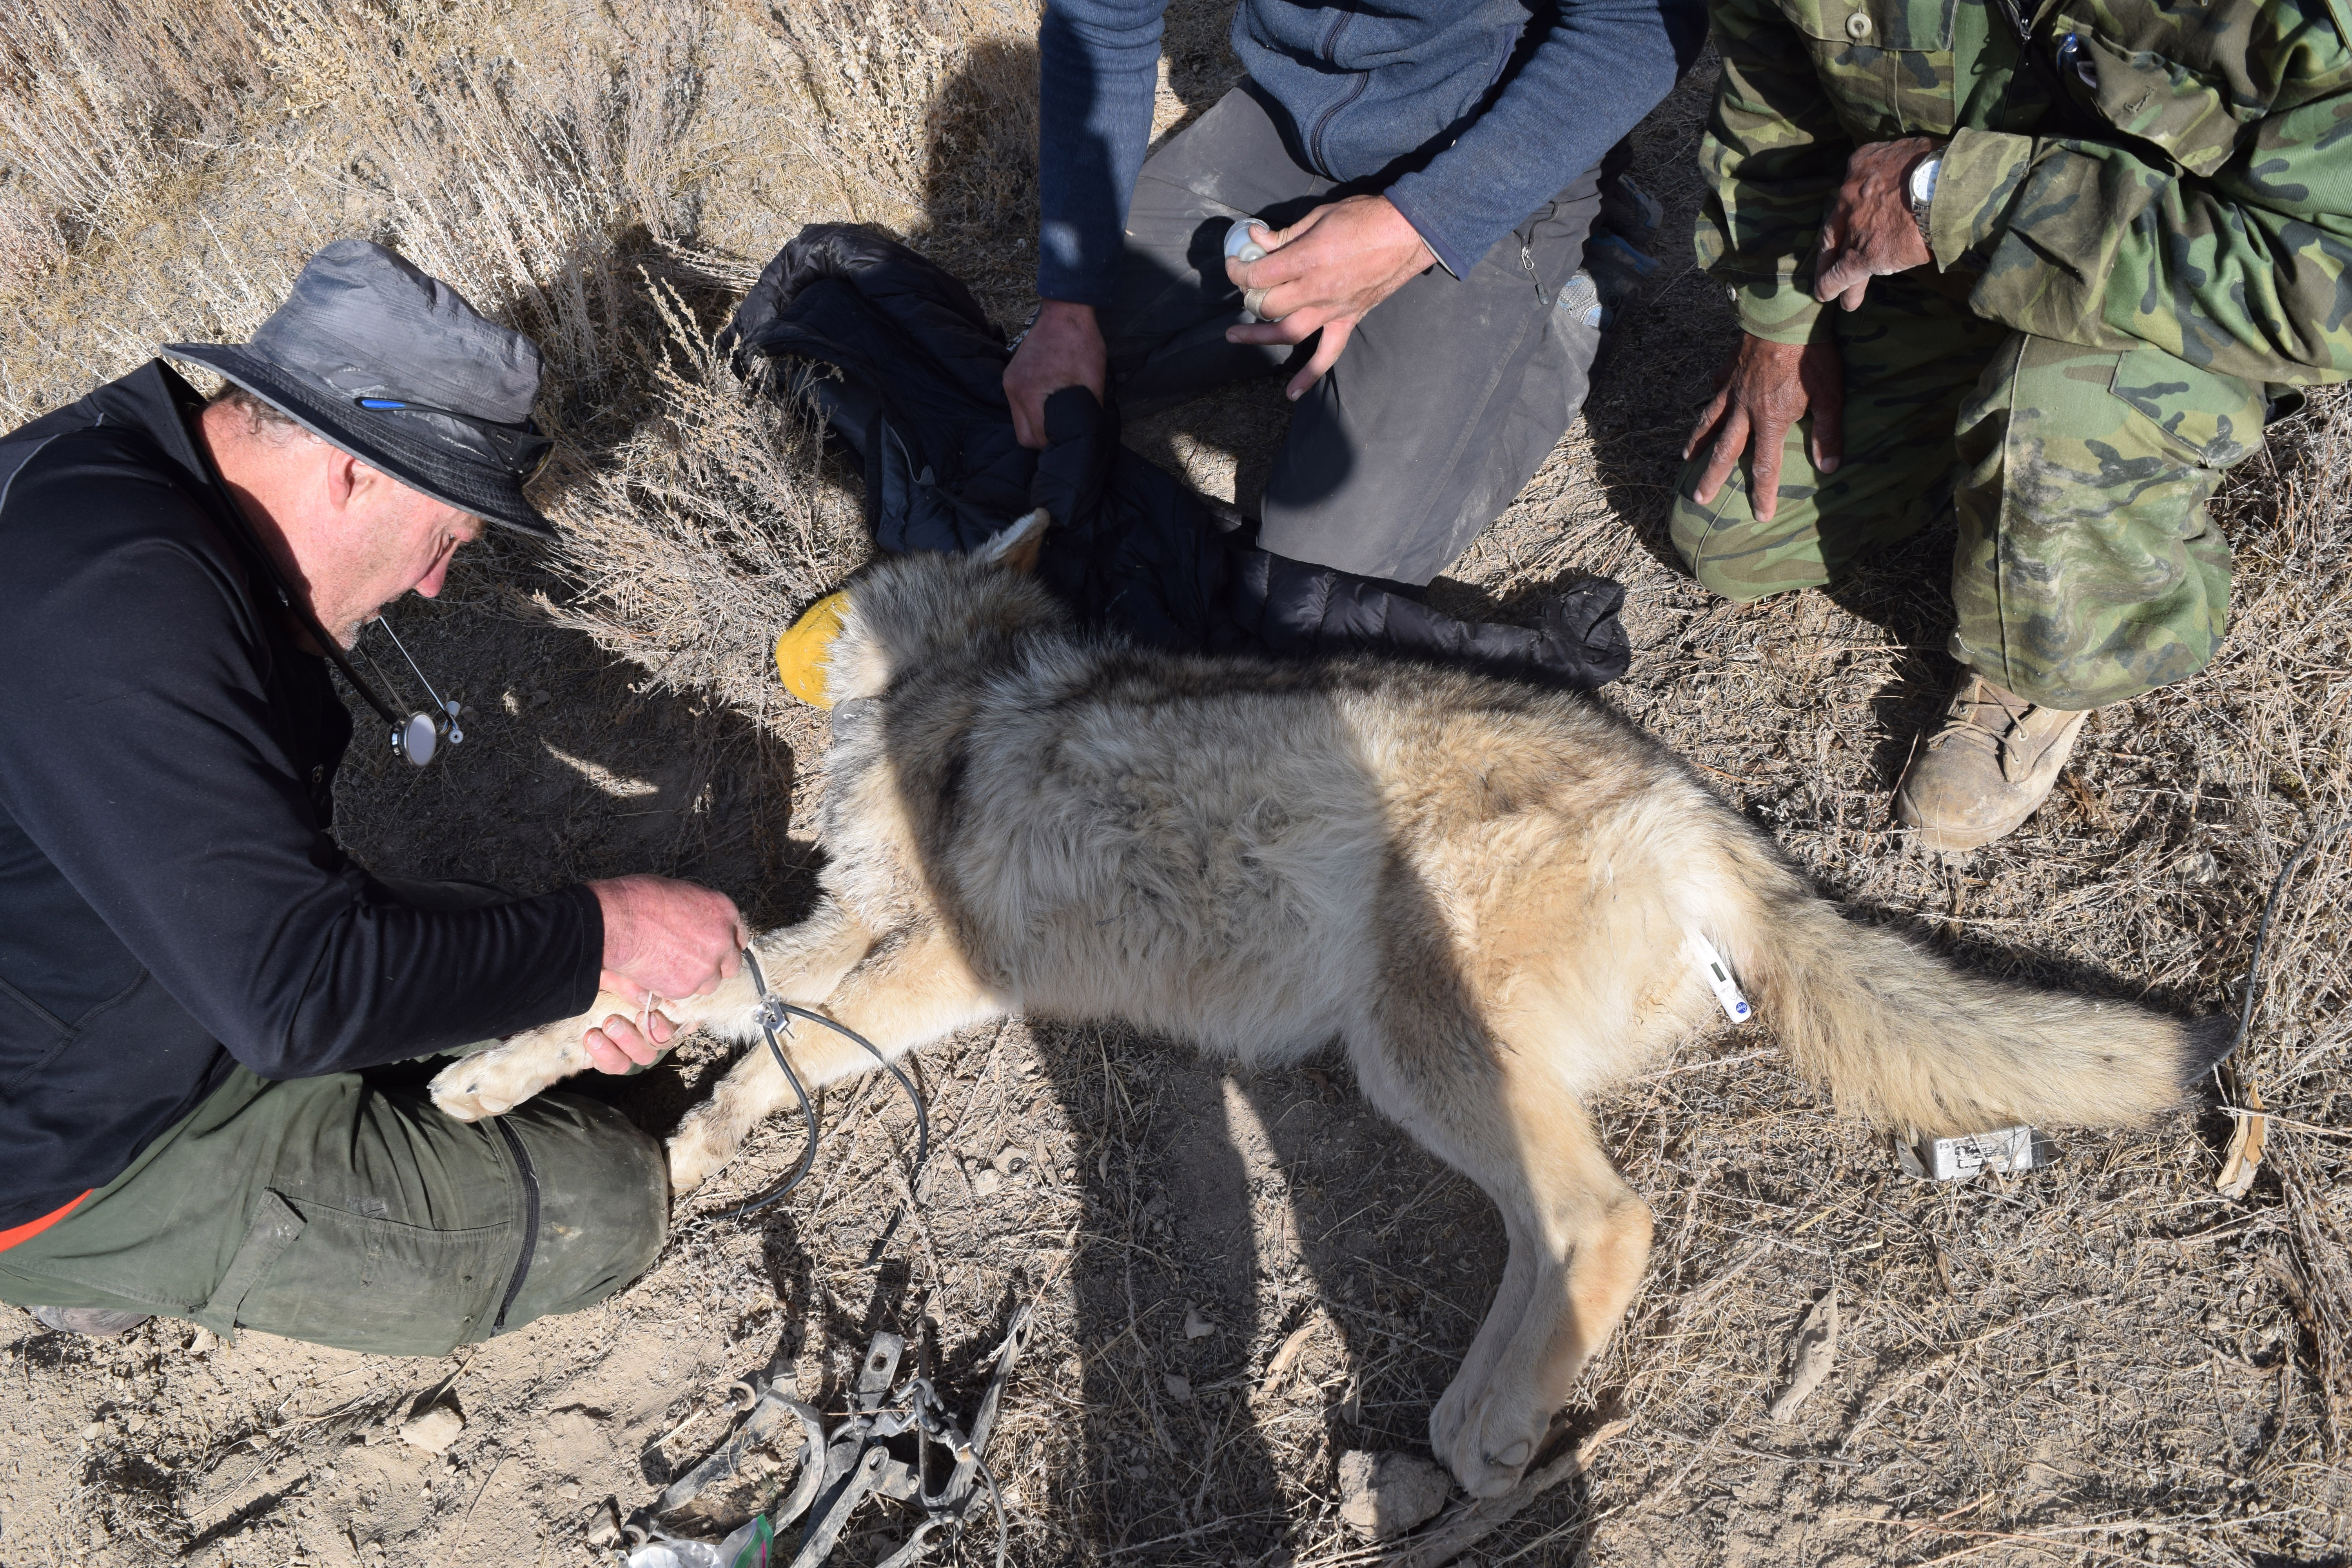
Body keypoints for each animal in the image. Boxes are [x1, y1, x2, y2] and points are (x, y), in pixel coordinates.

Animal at [431, 528, 2230, 1498]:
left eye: (859, 592)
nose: (784, 620)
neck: (956, 697)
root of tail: (1699, 805)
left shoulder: (938, 964)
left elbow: (784, 1048)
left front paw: (694, 1135)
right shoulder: (837, 926)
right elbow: (679, 997)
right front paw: (501, 1077)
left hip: (1412, 1046)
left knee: (1608, 1218)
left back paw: (1484, 1429)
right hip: (1428, 1064)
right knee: (1553, 1237)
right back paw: (1470, 1425)